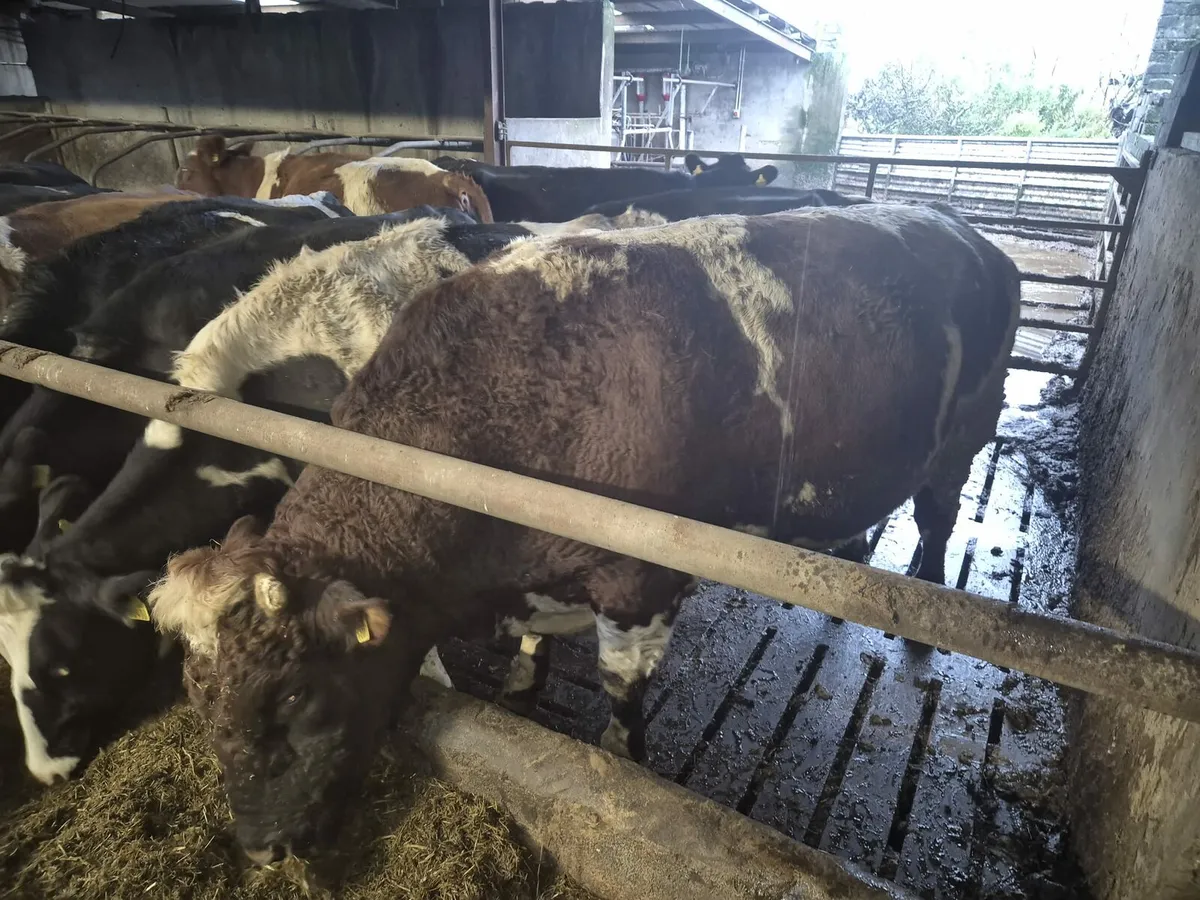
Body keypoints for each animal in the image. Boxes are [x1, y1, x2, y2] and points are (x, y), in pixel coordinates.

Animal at [147, 202, 1020, 863]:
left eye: (296, 690)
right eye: (195, 690)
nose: (260, 847)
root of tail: (959, 225)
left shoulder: (640, 580)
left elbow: (621, 694)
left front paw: (625, 760)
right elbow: (533, 653)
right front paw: (521, 686)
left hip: (964, 438)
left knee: (938, 517)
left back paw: (922, 605)